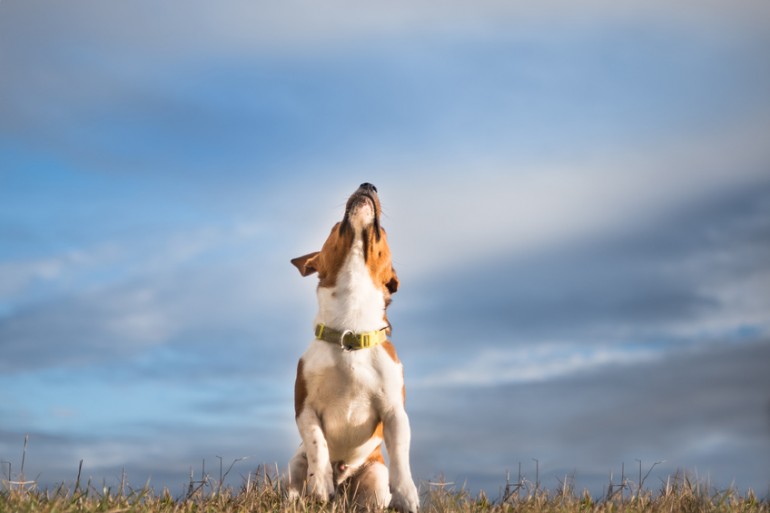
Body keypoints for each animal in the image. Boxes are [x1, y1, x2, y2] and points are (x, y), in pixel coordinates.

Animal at [288, 184, 420, 512]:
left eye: (383, 231)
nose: (368, 185)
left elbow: (401, 457)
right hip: (294, 465)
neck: (351, 330)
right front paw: (320, 483)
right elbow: (318, 444)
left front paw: (408, 496)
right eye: (336, 225)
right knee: (297, 479)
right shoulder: (304, 408)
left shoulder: (395, 412)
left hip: (374, 479)